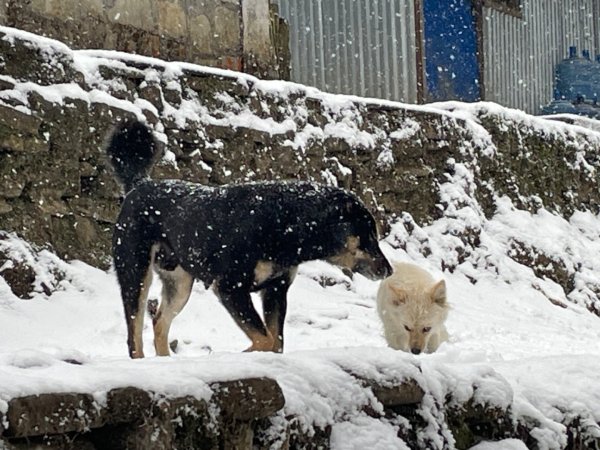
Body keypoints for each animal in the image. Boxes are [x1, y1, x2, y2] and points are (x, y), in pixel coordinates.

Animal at [106, 120, 394, 358]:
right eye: (369, 236)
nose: (389, 270)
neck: (285, 222)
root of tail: (138, 185)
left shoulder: (276, 290)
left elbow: (275, 342)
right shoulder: (231, 288)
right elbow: (265, 340)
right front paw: (240, 354)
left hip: (180, 284)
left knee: (159, 323)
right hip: (136, 275)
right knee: (134, 336)